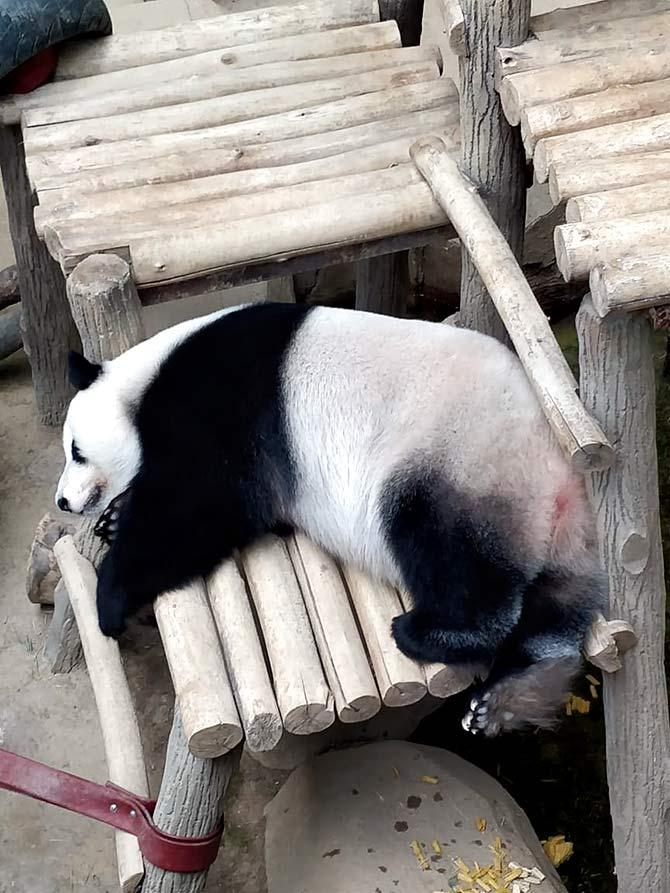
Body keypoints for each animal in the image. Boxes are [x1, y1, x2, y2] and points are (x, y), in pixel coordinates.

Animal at [55, 304, 608, 736]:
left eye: (76, 451)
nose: (62, 502)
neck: (147, 378)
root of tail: (566, 481)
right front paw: (113, 519)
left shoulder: (227, 406)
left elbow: (199, 506)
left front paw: (110, 600)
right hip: (551, 530)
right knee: (551, 617)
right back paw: (507, 701)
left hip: (464, 459)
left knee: (449, 550)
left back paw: (430, 633)